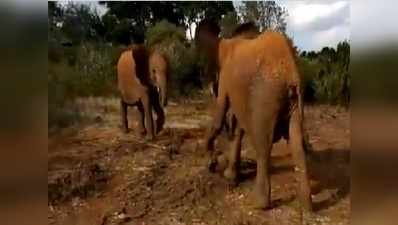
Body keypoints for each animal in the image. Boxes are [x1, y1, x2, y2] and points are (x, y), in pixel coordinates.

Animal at [197, 19, 312, 211]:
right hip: (294, 100)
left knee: (263, 146)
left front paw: (217, 168)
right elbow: (237, 126)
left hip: (265, 96)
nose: (212, 165)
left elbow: (221, 114)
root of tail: (291, 72)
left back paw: (259, 204)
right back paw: (306, 205)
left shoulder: (227, 76)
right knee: (297, 143)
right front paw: (229, 176)